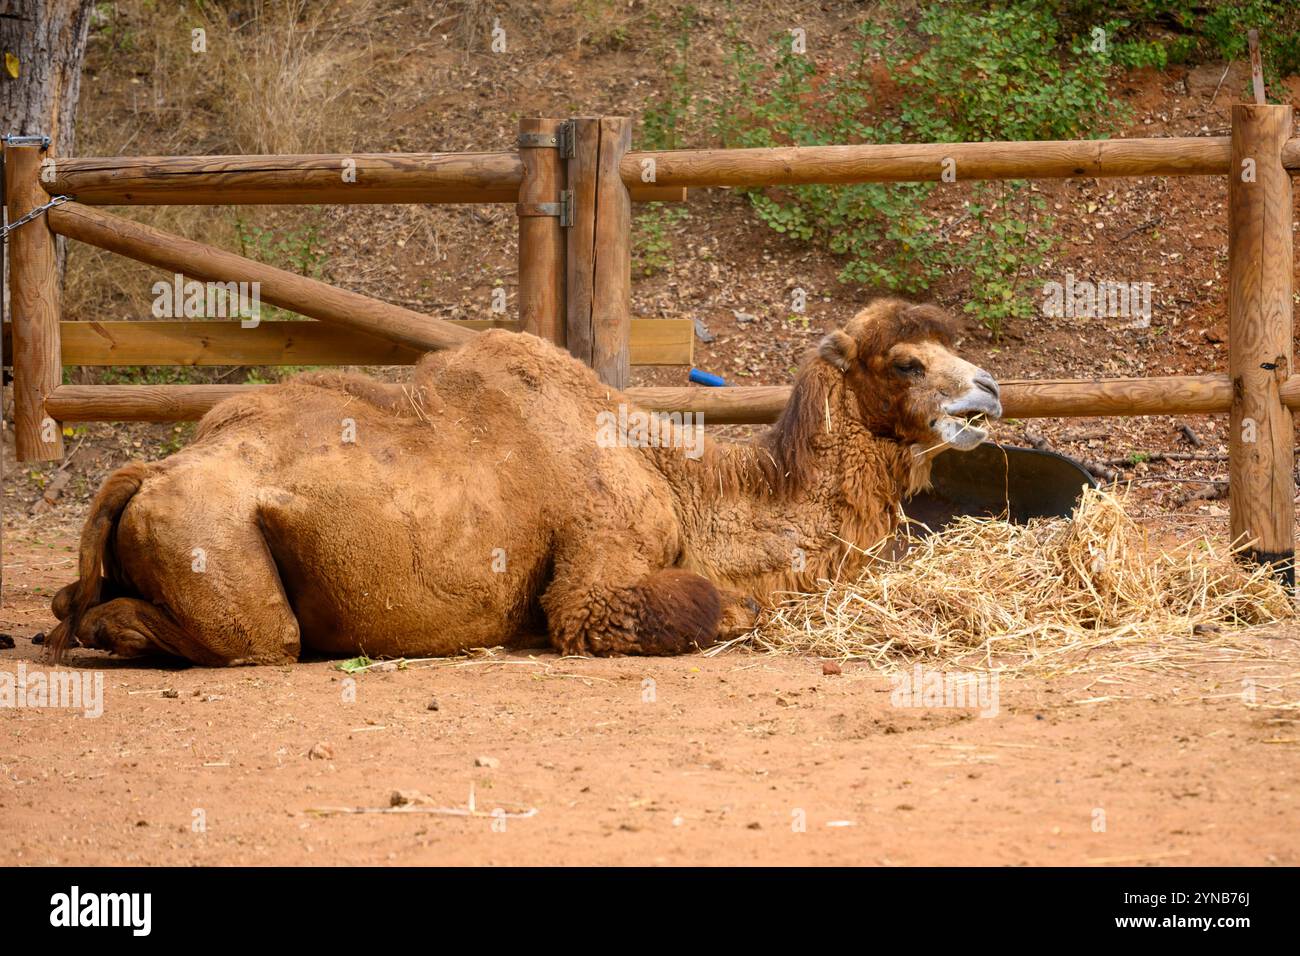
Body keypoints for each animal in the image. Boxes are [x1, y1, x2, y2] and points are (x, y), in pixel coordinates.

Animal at [48, 299, 1003, 665]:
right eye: (908, 360)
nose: (990, 389)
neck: (680, 480)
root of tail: (147, 472)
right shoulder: (598, 569)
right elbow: (705, 605)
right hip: (217, 550)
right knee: (256, 636)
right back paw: (114, 632)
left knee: (70, 598)